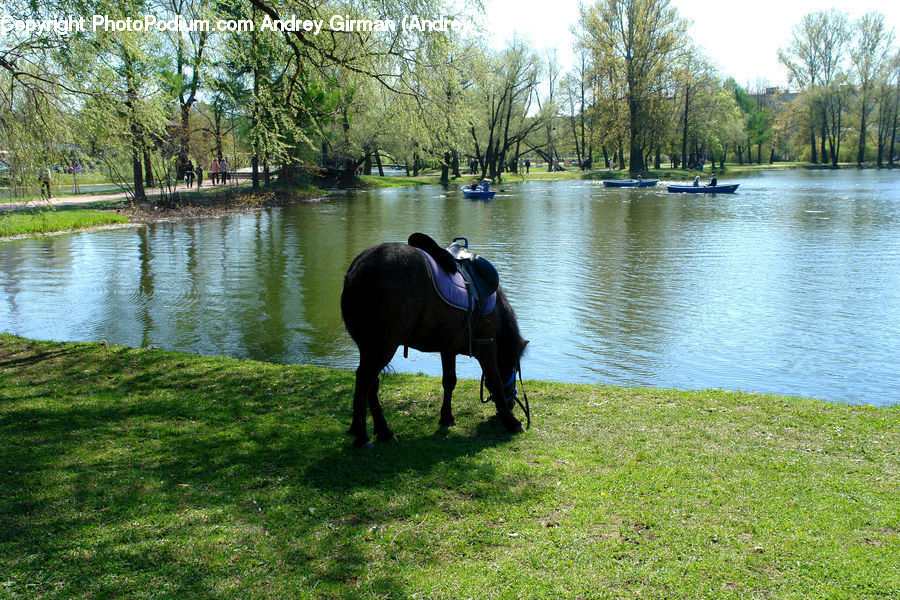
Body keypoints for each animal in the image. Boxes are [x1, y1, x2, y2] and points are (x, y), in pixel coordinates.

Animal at [342, 232, 528, 448]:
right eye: (514, 367)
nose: (511, 404)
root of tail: (357, 270)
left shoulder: (448, 348)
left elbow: (449, 381)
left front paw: (447, 417)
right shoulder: (487, 345)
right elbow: (496, 380)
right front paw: (512, 422)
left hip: (369, 347)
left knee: (370, 383)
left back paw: (384, 431)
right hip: (382, 347)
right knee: (365, 381)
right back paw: (363, 437)